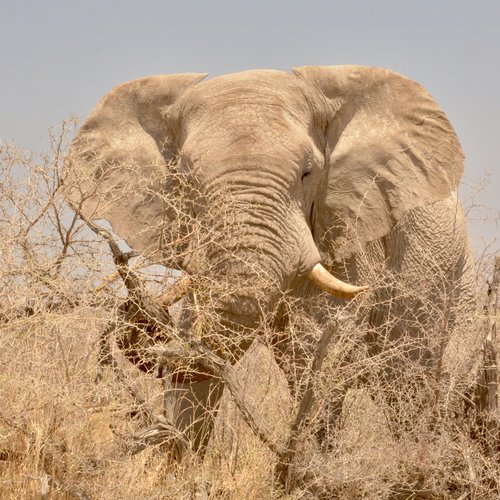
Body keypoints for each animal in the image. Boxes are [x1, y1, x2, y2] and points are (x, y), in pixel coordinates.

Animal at [64, 67, 478, 458]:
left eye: (308, 173)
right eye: (186, 178)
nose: (141, 319)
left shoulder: (346, 228)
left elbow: (318, 352)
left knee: (409, 386)